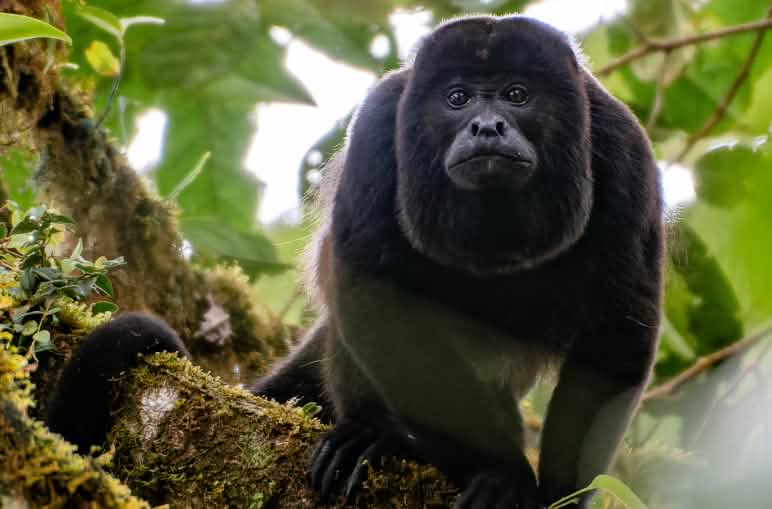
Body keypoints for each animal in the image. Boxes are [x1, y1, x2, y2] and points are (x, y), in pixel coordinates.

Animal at [47, 14, 663, 509]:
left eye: (517, 94)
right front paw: (502, 474)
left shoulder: (623, 146)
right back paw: (374, 434)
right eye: (457, 99)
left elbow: (618, 335)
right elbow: (373, 288)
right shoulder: (379, 124)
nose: (487, 126)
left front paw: (549, 492)